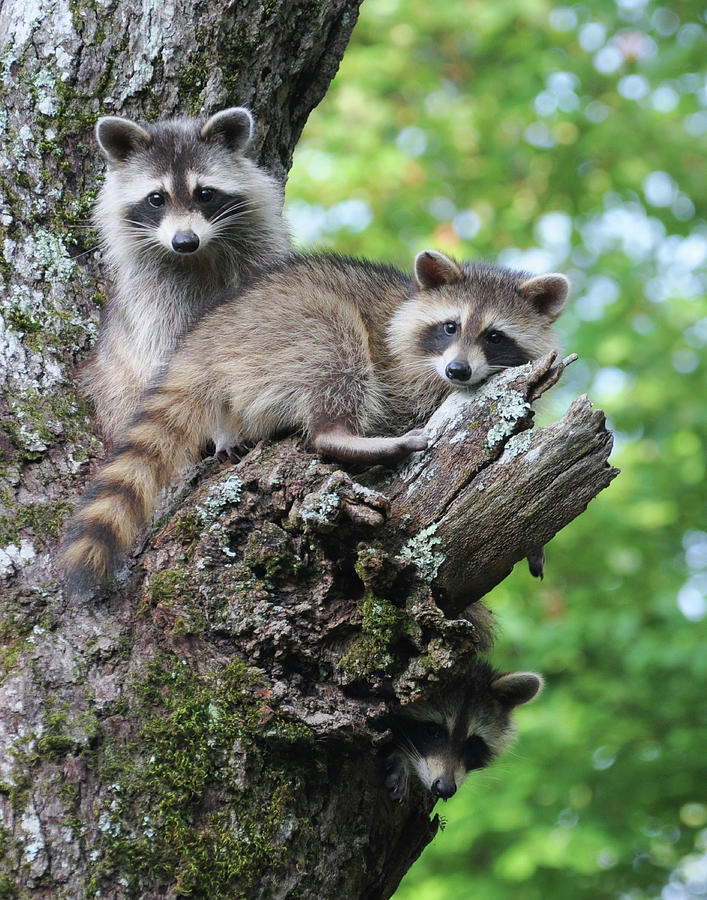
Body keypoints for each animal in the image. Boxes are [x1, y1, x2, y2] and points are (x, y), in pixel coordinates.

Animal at [62, 250, 568, 596]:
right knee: (335, 343)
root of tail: (203, 342)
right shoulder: (402, 375)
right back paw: (343, 435)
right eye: (450, 326)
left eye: (494, 336)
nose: (458, 371)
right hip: (286, 333)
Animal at [81, 105, 292, 442]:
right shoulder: (152, 293)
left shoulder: (260, 255)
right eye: (156, 198)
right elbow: (166, 353)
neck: (199, 255)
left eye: (205, 193)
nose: (184, 241)